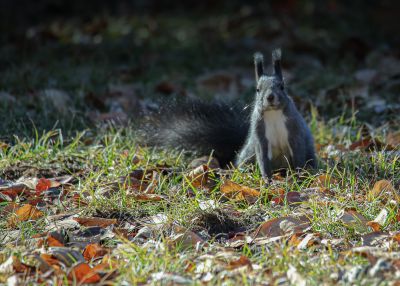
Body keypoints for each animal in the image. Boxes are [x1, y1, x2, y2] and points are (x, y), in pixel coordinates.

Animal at [142, 50, 318, 178]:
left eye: (282, 86)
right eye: (257, 89)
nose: (270, 97)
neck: (273, 114)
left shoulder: (294, 129)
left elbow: (298, 151)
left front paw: (299, 175)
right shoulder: (259, 133)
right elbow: (262, 156)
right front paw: (267, 179)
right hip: (248, 154)